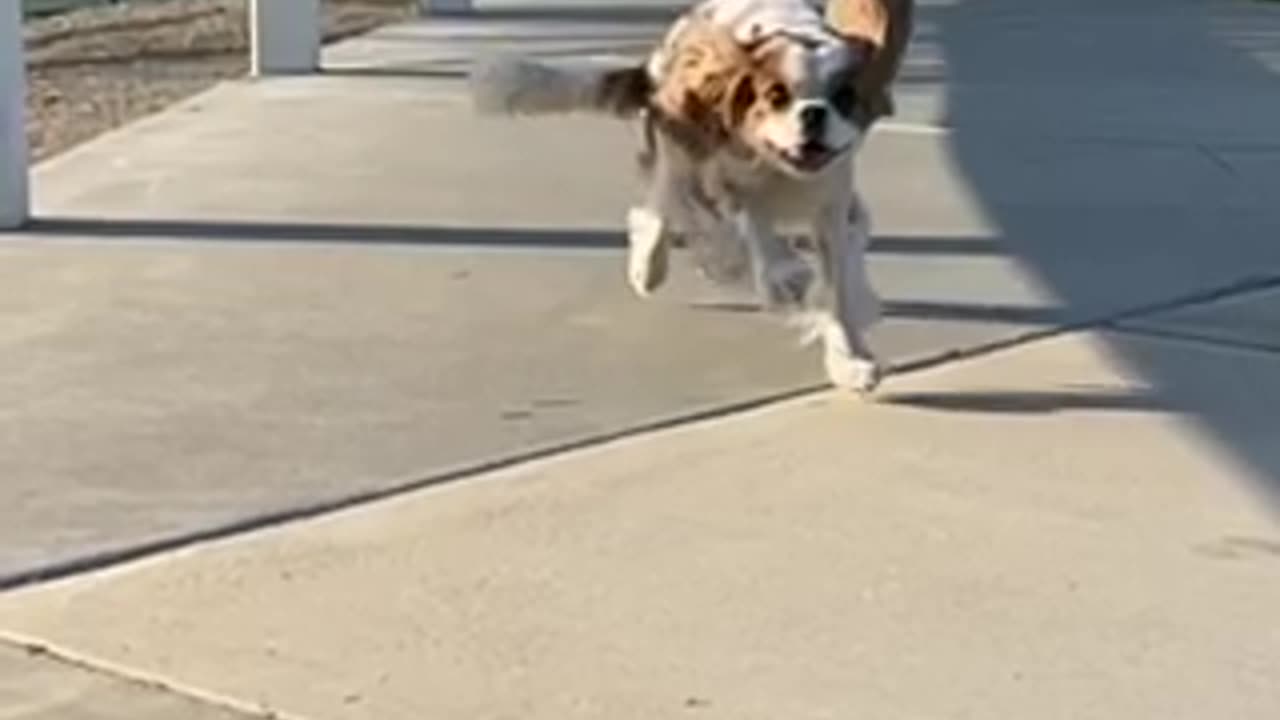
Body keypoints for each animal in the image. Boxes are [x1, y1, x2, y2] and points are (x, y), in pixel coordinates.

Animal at [471, 0, 911, 392]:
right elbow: (752, 224)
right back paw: (656, 266)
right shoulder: (722, 174)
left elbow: (839, 286)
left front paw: (849, 361)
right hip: (677, 153)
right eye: (776, 96)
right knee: (665, 206)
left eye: (845, 98)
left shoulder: (831, 205)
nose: (814, 112)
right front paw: (783, 273)